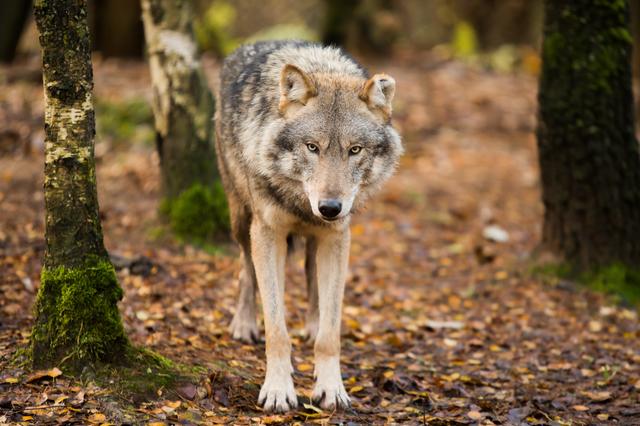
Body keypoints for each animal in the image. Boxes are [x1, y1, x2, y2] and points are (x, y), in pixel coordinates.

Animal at [215, 40, 402, 413]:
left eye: (354, 150)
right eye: (312, 147)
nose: (330, 208)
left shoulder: (338, 237)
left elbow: (331, 333)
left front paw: (331, 388)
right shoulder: (267, 234)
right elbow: (277, 329)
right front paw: (277, 390)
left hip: (319, 242)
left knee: (312, 280)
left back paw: (312, 325)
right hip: (241, 220)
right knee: (245, 270)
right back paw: (244, 322)